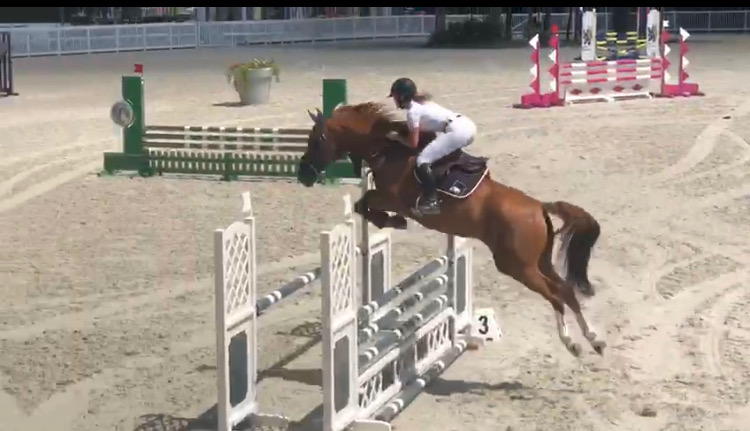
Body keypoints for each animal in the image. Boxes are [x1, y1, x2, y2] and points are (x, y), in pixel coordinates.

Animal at [297, 102, 605, 357]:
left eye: (317, 139)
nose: (303, 176)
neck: (387, 151)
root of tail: (540, 207)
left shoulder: (393, 199)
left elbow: (365, 203)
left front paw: (392, 221)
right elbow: (363, 205)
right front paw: (391, 222)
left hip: (517, 266)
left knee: (555, 295)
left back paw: (572, 342)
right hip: (538, 261)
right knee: (566, 290)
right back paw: (594, 339)